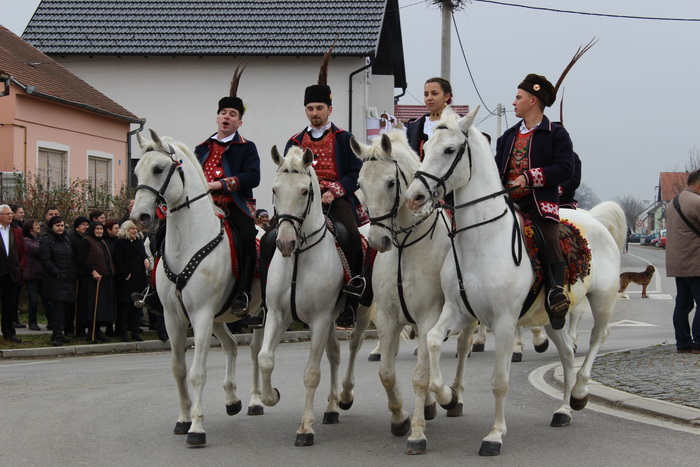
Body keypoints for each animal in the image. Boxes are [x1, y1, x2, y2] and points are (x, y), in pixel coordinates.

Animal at [130, 130, 264, 448]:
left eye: (158, 169)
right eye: (136, 171)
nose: (140, 217)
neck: (188, 241)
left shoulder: (201, 315)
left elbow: (197, 372)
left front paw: (197, 429)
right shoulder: (174, 317)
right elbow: (179, 370)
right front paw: (183, 419)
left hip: (257, 312)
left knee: (254, 350)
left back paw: (255, 401)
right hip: (219, 317)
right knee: (231, 345)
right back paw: (232, 400)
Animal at [258, 146, 372, 446]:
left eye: (304, 191)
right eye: (274, 189)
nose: (285, 243)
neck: (299, 257)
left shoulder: (319, 319)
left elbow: (311, 373)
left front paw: (305, 429)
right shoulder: (278, 314)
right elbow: (265, 358)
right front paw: (270, 396)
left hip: (361, 311)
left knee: (353, 346)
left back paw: (345, 396)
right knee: (334, 354)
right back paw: (331, 408)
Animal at [350, 130, 470, 456]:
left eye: (391, 182)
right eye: (361, 184)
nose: (378, 241)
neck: (406, 246)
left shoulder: (430, 317)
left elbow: (420, 376)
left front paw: (417, 433)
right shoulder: (388, 318)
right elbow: (387, 373)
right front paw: (400, 418)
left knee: (463, 348)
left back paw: (454, 397)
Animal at [404, 109, 624, 458]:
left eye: (450, 150)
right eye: (425, 150)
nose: (414, 197)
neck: (481, 241)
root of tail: (594, 220)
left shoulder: (505, 322)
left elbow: (500, 381)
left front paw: (494, 435)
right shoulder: (459, 311)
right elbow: (435, 340)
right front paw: (447, 397)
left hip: (602, 300)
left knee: (597, 337)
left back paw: (579, 392)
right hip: (551, 318)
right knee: (566, 353)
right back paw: (562, 410)